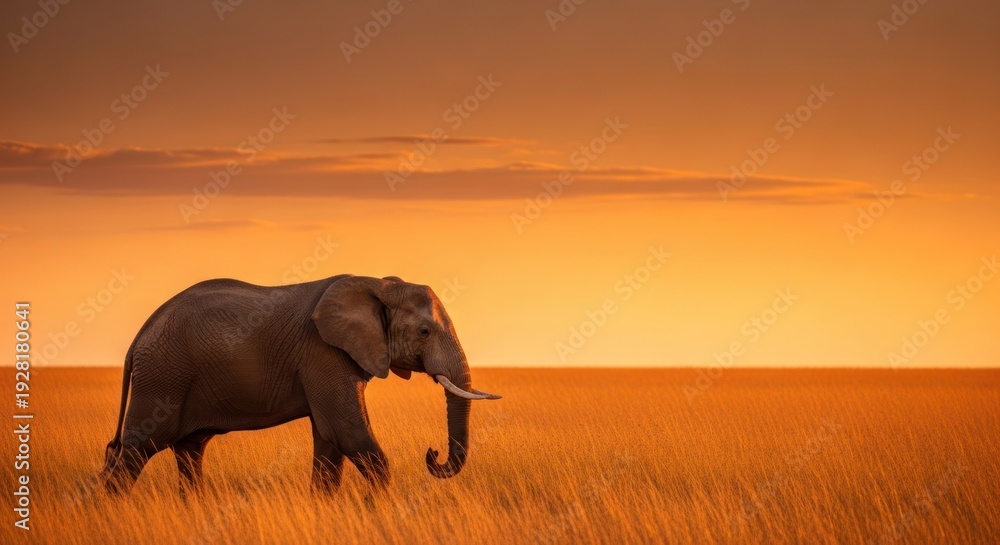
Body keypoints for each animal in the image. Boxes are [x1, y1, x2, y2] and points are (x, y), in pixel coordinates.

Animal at [99, 274, 501, 494]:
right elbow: (346, 431)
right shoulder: (323, 352)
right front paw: (375, 512)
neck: (378, 284)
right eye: (424, 332)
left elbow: (329, 441)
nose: (432, 454)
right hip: (163, 377)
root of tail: (140, 336)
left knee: (189, 451)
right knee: (139, 448)